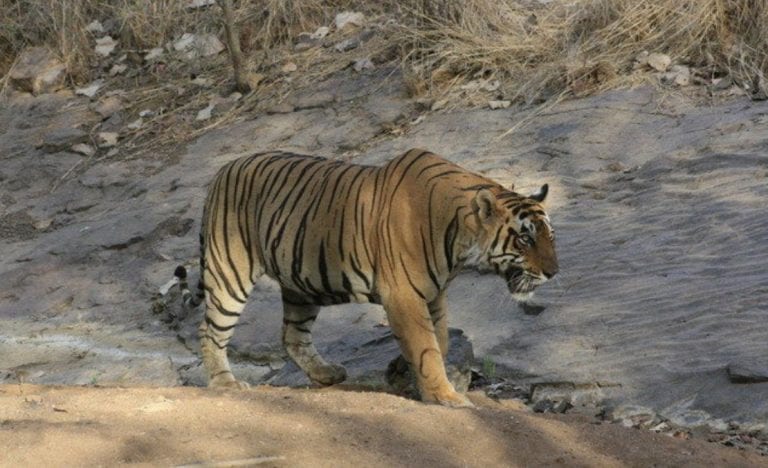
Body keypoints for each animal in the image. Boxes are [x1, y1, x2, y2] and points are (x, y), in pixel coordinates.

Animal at [174, 149, 560, 406]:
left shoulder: (434, 294)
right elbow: (426, 346)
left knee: (291, 335)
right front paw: (445, 396)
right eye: (525, 239)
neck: (459, 242)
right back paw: (226, 384)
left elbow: (438, 340)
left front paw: (408, 376)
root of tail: (223, 170)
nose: (553, 272)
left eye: (549, 236)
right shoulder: (403, 294)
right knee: (210, 330)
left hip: (301, 281)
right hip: (231, 272)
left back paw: (326, 374)